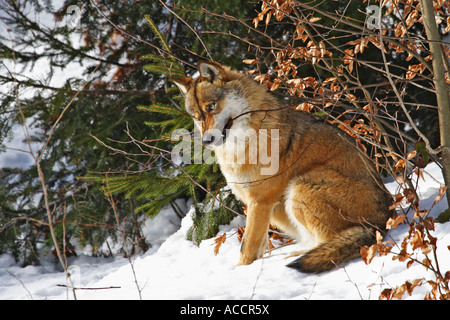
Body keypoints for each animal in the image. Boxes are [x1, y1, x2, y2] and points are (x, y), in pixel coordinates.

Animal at [173, 60, 394, 272]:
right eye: (197, 117)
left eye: (211, 106)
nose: (206, 140)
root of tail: (383, 221)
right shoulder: (256, 204)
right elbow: (257, 247)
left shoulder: (259, 201)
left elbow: (247, 246)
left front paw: (240, 271)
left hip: (299, 188)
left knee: (327, 244)